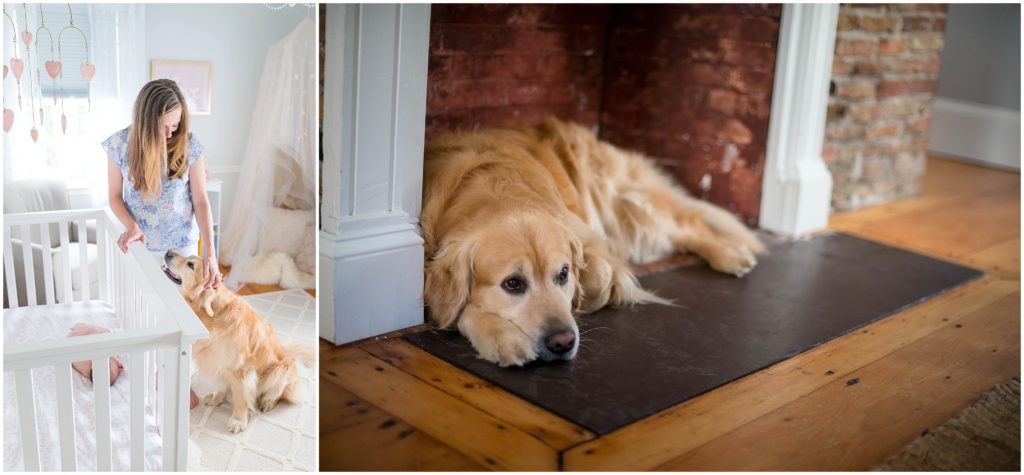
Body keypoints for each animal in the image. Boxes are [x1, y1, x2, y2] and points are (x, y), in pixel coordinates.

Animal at [158, 251, 311, 434]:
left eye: (190, 265)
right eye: (190, 257)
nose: (168, 252)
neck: (214, 316)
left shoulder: (241, 371)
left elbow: (240, 397)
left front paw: (238, 420)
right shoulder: (221, 362)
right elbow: (223, 384)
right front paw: (217, 397)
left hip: (280, 370)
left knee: (280, 393)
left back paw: (268, 402)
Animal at [419, 117, 765, 366]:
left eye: (563, 274)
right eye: (512, 284)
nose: (563, 342)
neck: (493, 189)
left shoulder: (598, 253)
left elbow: (598, 278)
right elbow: (455, 309)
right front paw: (500, 337)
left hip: (627, 207)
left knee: (689, 223)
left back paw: (731, 254)